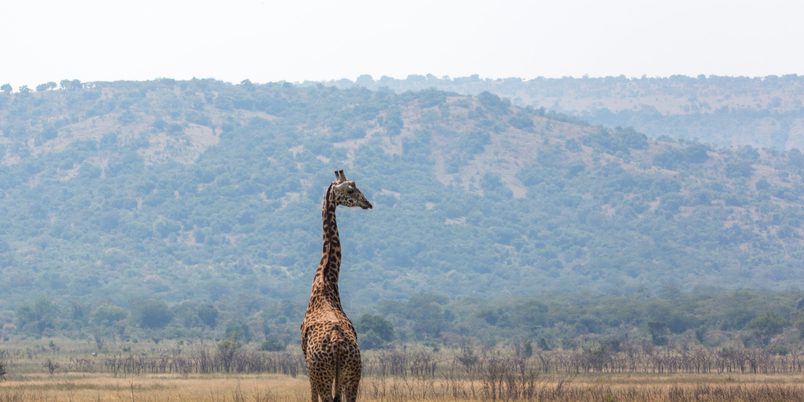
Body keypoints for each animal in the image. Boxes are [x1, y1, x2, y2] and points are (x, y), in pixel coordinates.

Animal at [301, 170, 372, 402]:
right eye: (350, 190)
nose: (367, 203)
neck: (326, 281)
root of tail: (339, 345)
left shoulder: (308, 365)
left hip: (324, 373)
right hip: (352, 374)